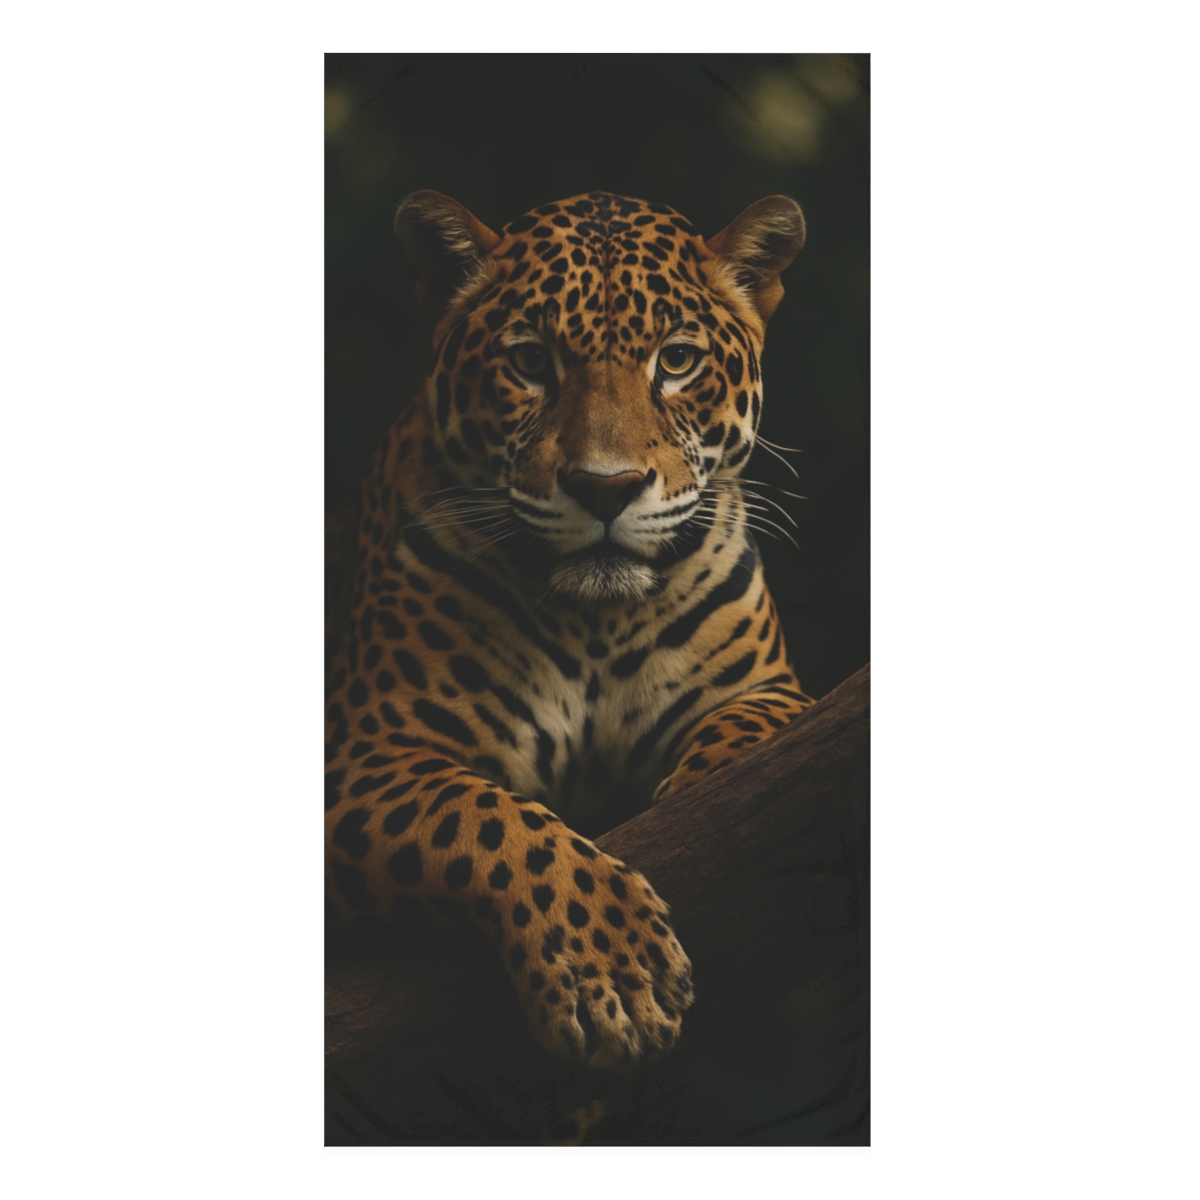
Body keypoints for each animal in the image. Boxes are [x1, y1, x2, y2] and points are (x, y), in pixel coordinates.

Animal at [325, 188, 816, 1073]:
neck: (596, 622)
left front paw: (705, 798)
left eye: (677, 360)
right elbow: (483, 815)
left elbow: (747, 739)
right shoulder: (362, 754)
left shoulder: (776, 691)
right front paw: (612, 967)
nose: (606, 487)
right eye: (529, 362)